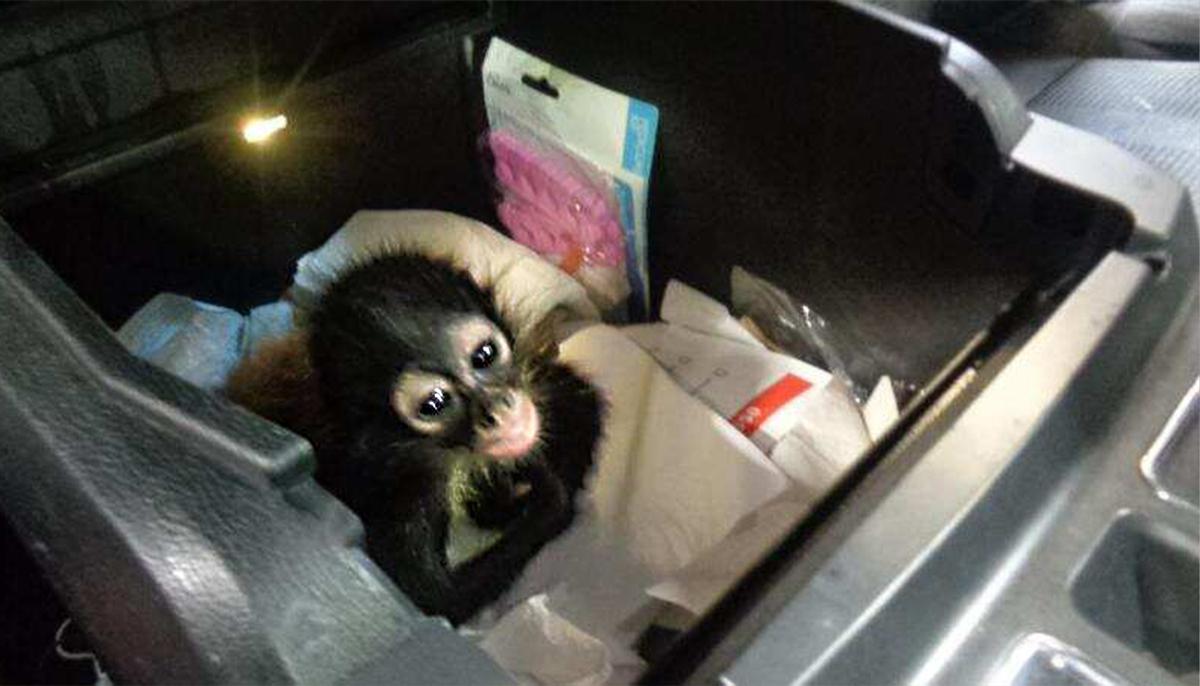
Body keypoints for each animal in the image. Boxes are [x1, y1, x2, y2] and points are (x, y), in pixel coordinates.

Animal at [226, 254, 603, 624]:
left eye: (484, 355)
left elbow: (583, 398)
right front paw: (545, 496)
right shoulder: (410, 480)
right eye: (434, 403)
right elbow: (432, 599)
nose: (497, 410)